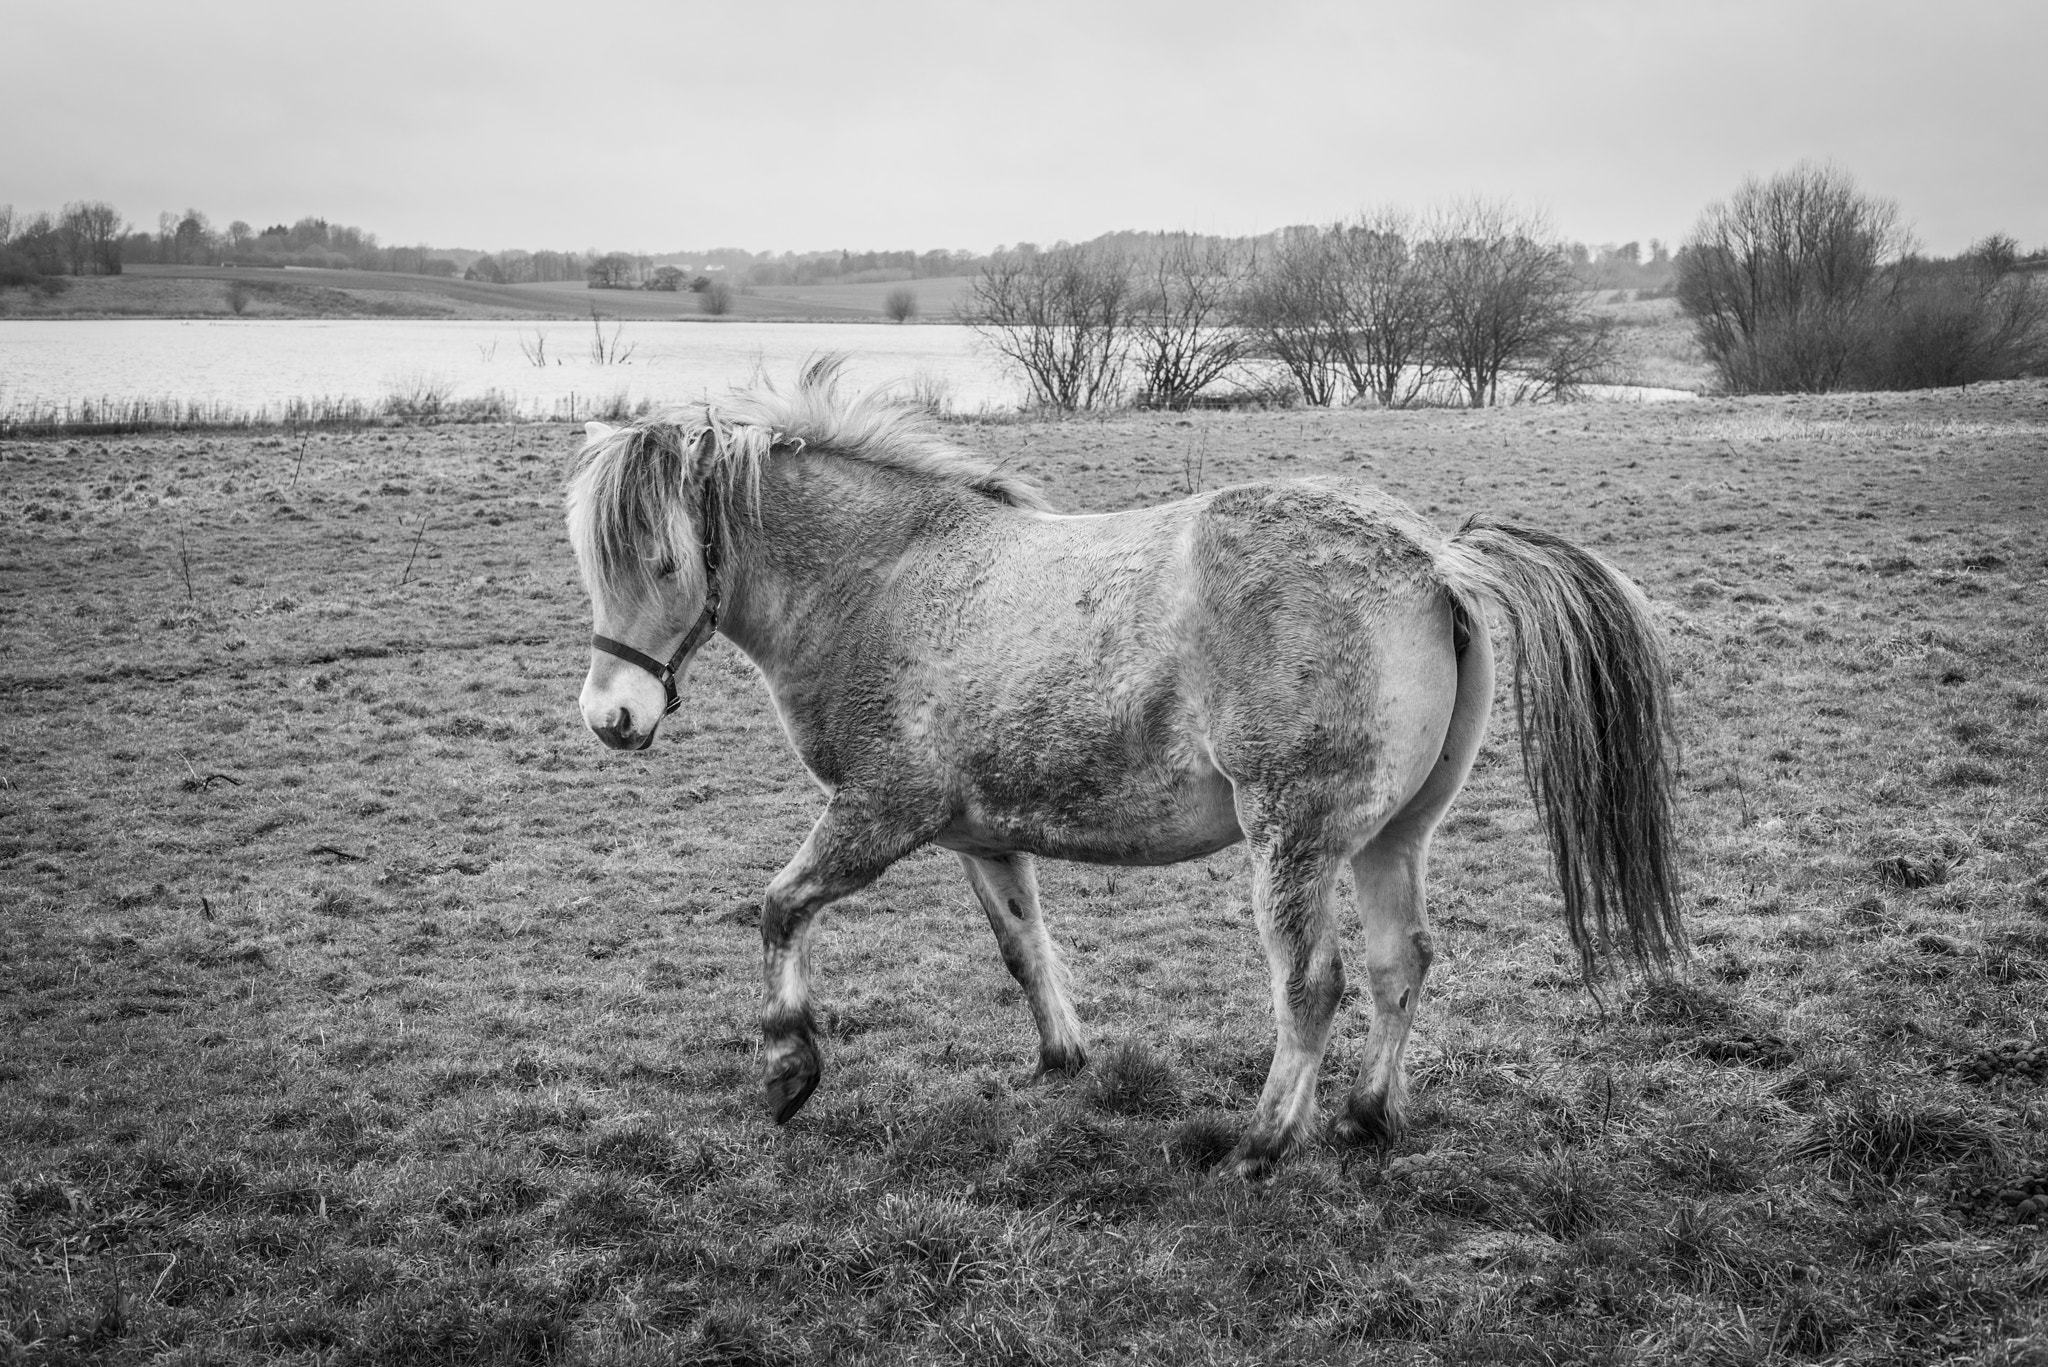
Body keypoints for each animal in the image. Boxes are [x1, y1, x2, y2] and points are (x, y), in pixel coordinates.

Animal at [565, 360, 1679, 1180]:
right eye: (596, 564)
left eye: (663, 561)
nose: (611, 718)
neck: (888, 579)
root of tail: (1430, 559)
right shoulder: (979, 833)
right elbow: (1024, 948)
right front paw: (1062, 1057)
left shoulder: (880, 813)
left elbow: (780, 907)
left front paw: (789, 1065)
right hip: (1390, 838)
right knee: (1398, 963)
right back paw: (1365, 1117)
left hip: (1292, 839)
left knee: (1309, 984)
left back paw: (1262, 1142)